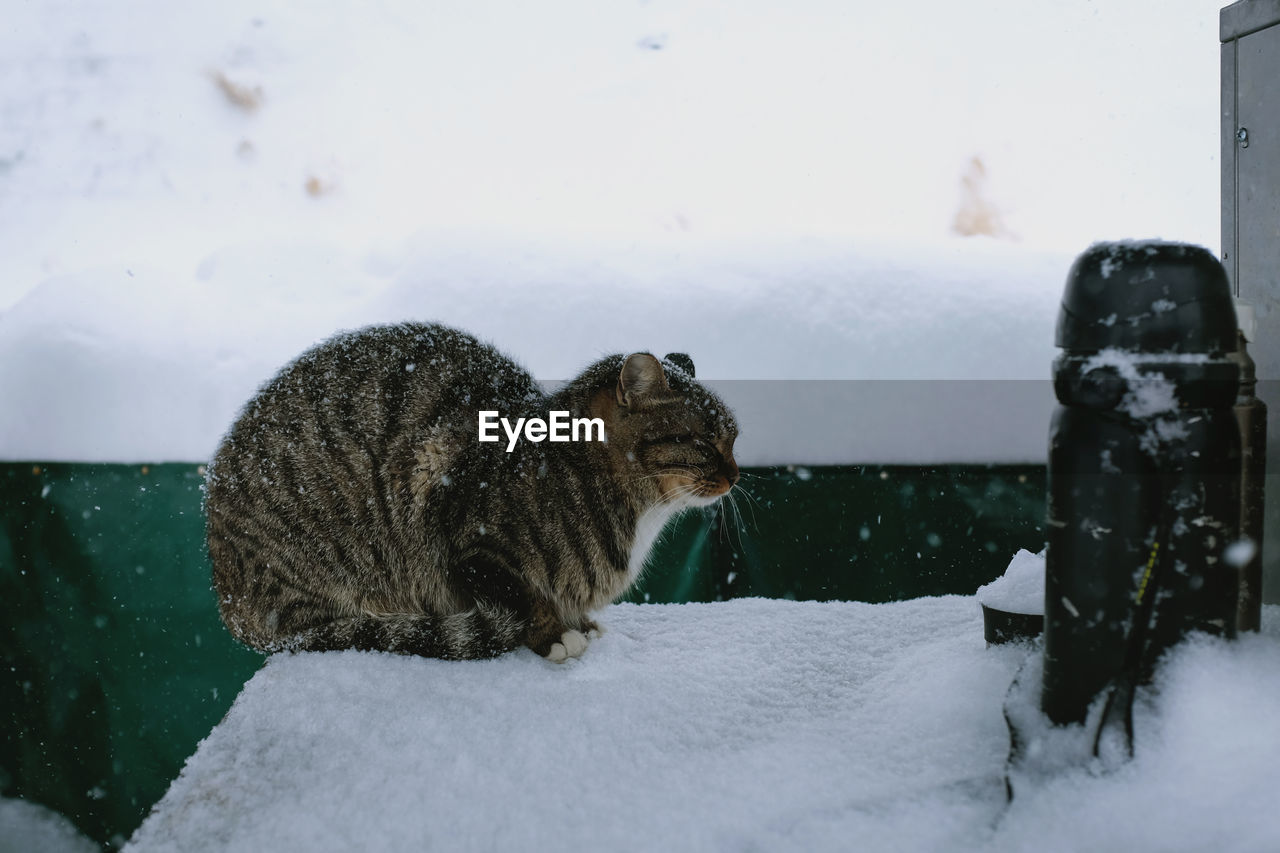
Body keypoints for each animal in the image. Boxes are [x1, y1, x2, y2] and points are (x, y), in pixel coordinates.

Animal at [202, 322, 742, 660]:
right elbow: (522, 596)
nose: (736, 474)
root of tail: (227, 598)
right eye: (702, 442)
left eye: (734, 438)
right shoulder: (462, 532)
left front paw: (579, 623)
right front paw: (555, 635)